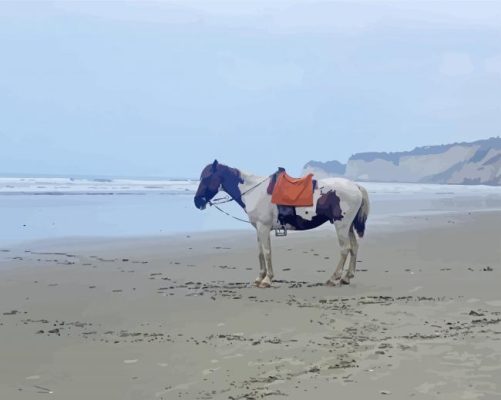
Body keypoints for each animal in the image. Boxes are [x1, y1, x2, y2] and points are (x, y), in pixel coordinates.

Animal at [193, 159, 370, 288]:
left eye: (207, 177)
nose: (197, 201)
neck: (254, 191)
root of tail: (355, 186)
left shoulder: (263, 227)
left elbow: (266, 252)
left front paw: (267, 280)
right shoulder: (258, 229)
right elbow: (260, 252)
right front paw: (260, 278)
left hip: (342, 225)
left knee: (345, 249)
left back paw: (334, 278)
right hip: (348, 226)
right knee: (354, 247)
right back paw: (346, 277)